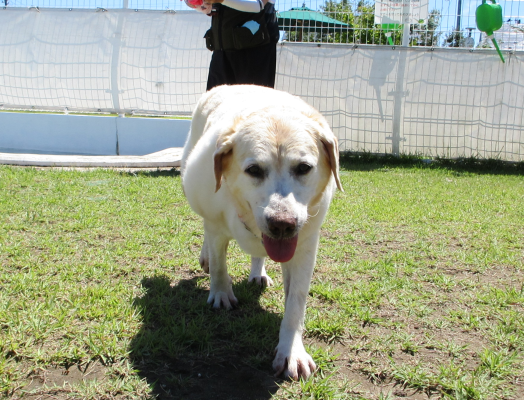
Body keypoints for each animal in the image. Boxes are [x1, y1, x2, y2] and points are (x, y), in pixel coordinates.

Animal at [181, 85, 342, 380]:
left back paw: (258, 273)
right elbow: (219, 265)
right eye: (253, 170)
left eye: (304, 168)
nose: (282, 223)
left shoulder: (305, 245)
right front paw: (221, 294)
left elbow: (296, 304)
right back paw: (206, 257)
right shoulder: (216, 224)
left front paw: (292, 351)